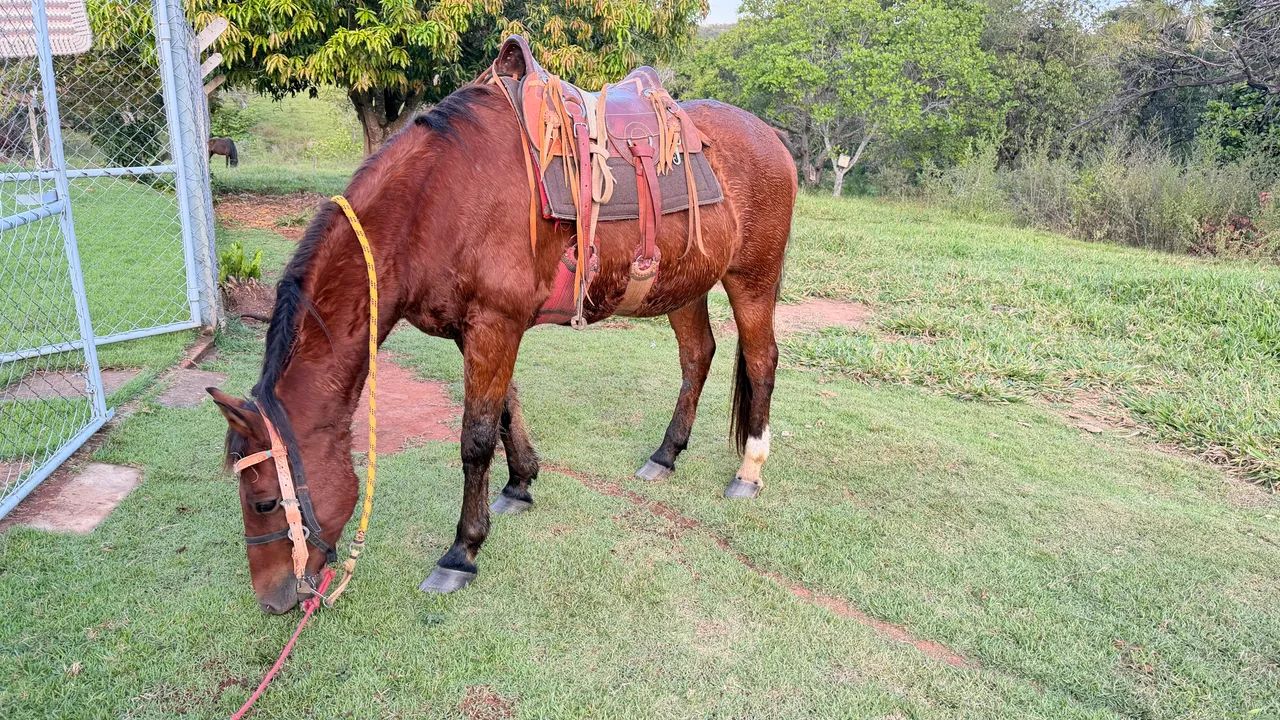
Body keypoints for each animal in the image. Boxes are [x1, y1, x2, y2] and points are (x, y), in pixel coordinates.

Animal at [207, 66, 796, 614]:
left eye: (262, 503)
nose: (274, 599)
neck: (435, 201)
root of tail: (772, 138)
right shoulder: (476, 331)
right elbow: (507, 409)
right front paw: (520, 484)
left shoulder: (494, 325)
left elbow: (475, 438)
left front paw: (462, 551)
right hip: (683, 286)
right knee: (697, 357)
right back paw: (666, 453)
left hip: (752, 277)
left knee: (761, 361)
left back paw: (749, 470)